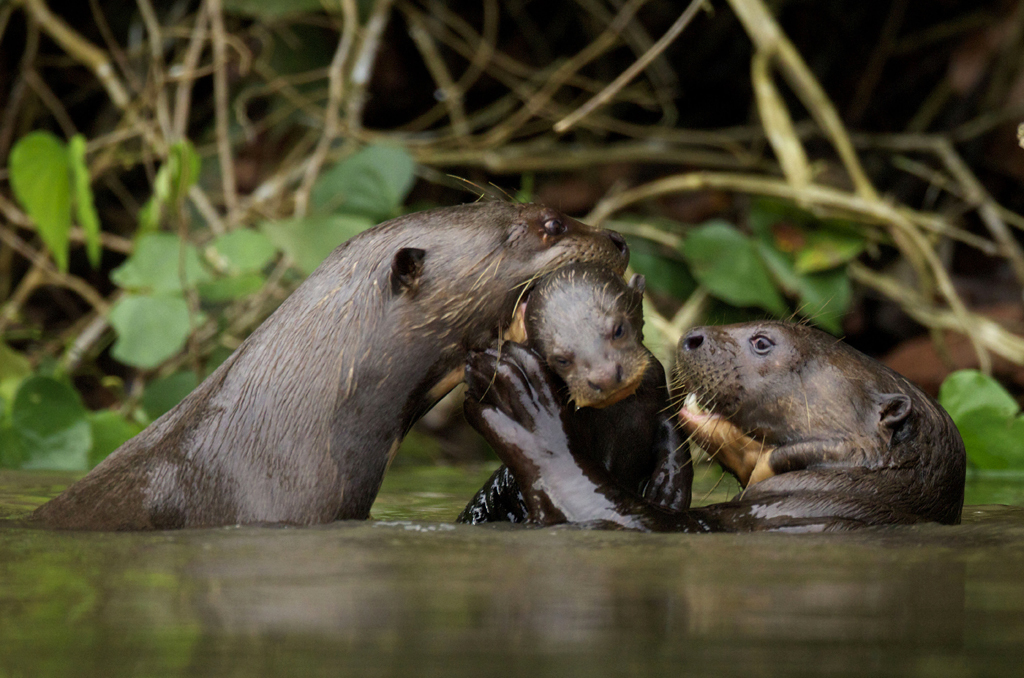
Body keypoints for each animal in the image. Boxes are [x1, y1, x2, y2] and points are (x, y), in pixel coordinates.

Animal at [460, 266, 692, 524]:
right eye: (561, 359)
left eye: (618, 330)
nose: (604, 376)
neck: (621, 419)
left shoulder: (659, 399)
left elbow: (676, 440)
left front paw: (669, 487)